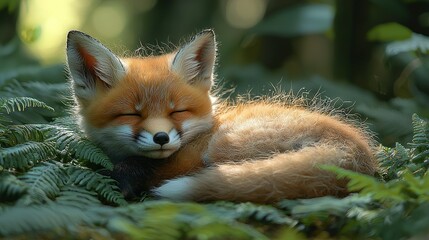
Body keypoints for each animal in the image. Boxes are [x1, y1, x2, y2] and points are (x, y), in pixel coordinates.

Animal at [65, 29, 376, 202]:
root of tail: (358, 152)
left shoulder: (183, 162)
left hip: (223, 148)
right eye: (131, 114)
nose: (161, 138)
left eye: (177, 111)